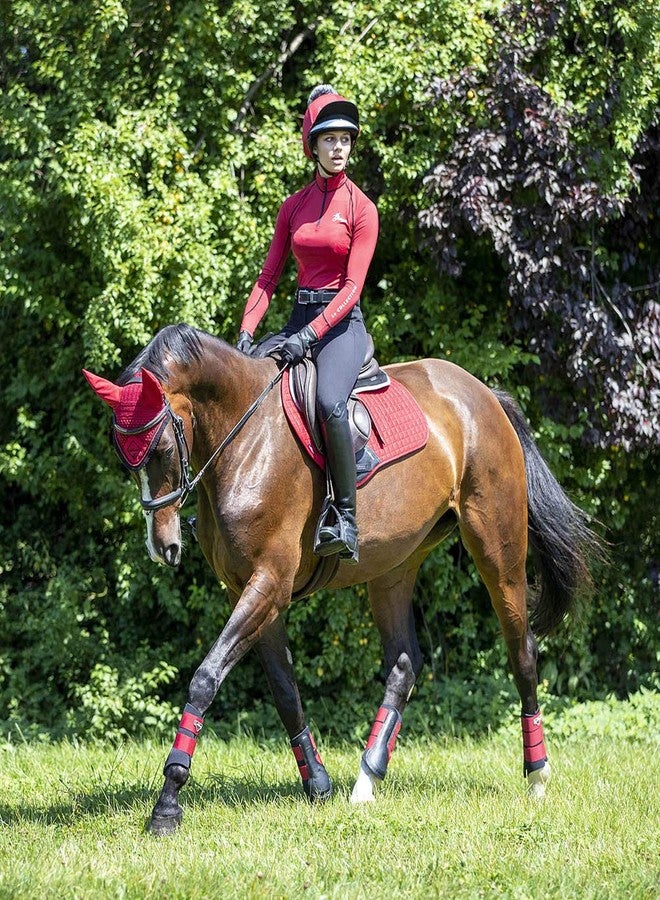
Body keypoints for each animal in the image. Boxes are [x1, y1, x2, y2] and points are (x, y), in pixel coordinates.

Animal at [83, 322, 600, 836]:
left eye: (161, 448)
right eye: (124, 457)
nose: (163, 547)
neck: (246, 440)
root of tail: (484, 394)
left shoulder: (268, 584)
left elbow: (206, 679)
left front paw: (168, 802)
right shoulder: (250, 591)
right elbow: (284, 690)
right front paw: (317, 783)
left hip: (497, 547)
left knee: (521, 650)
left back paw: (537, 774)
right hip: (395, 566)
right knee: (405, 664)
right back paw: (366, 779)